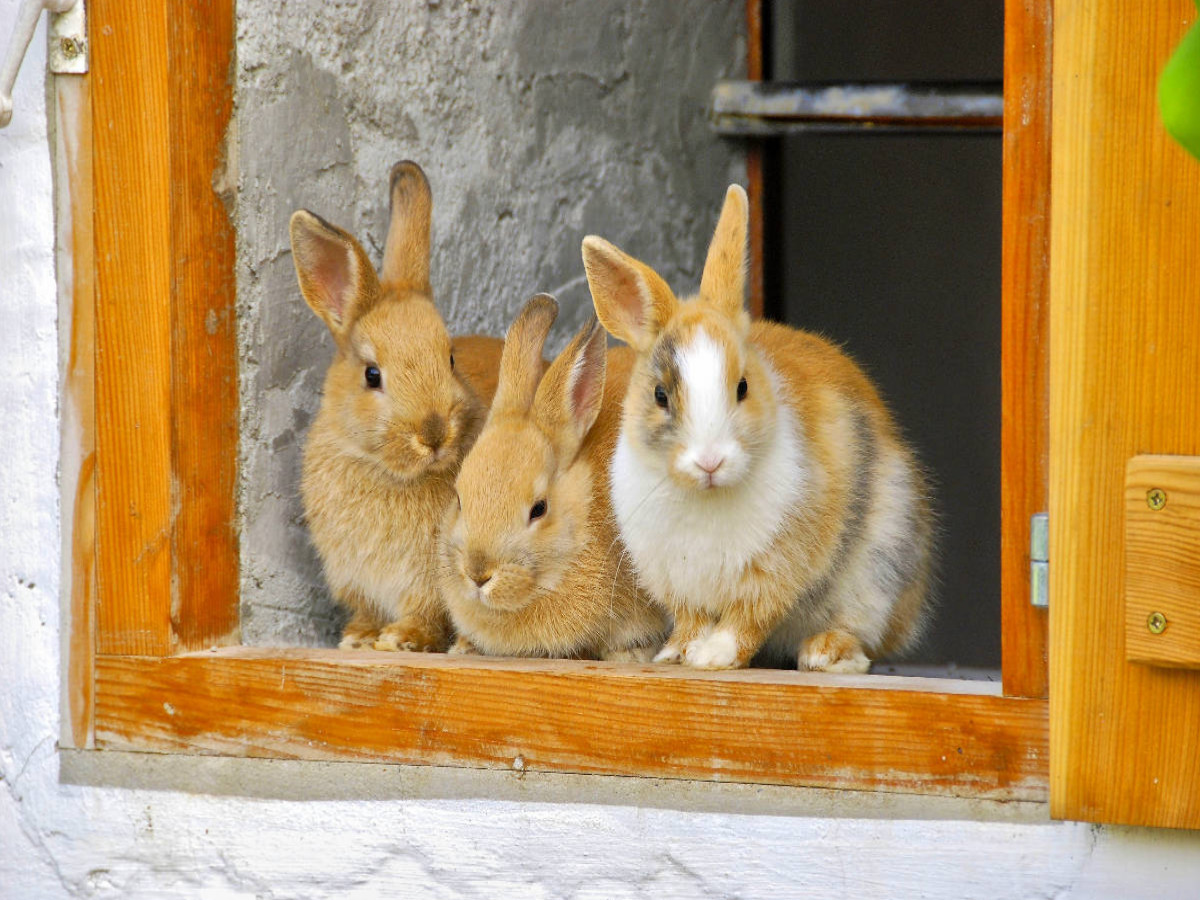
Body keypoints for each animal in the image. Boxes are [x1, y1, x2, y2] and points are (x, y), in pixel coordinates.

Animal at [292, 162, 504, 652]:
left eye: (450, 358)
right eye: (372, 375)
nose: (434, 433)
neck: (388, 471)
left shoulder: (430, 582)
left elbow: (427, 613)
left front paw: (401, 639)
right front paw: (359, 637)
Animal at [583, 183, 936, 672]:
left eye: (743, 387)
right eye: (660, 395)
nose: (710, 462)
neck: (705, 497)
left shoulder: (775, 568)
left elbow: (748, 617)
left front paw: (713, 657)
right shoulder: (676, 580)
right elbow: (690, 619)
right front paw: (676, 654)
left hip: (880, 570)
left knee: (864, 636)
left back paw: (825, 654)